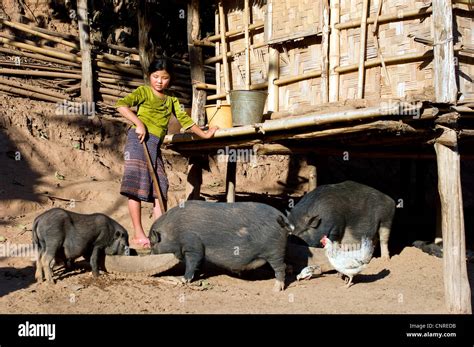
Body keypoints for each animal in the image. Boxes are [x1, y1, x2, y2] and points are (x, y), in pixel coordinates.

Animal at [150, 201, 294, 294]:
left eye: (152, 243)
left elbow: (191, 265)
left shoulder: (193, 246)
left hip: (275, 251)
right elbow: (198, 265)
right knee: (285, 266)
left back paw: (275, 290)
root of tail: (283, 218)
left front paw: (179, 279)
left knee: (280, 268)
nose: (150, 253)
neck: (173, 231)